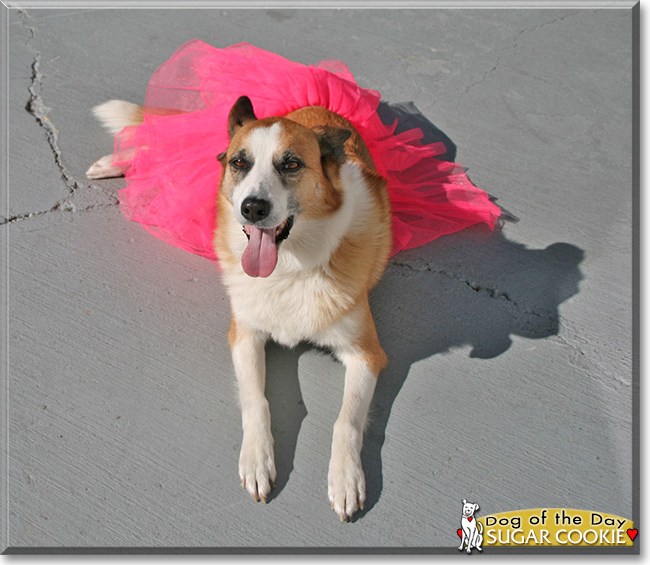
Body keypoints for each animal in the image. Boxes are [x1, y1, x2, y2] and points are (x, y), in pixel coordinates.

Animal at [86, 93, 390, 520]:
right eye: (240, 163)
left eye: (291, 164)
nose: (252, 208)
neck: (292, 265)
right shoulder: (243, 334)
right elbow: (255, 400)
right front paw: (257, 460)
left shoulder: (367, 354)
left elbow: (345, 419)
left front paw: (346, 478)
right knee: (170, 142)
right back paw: (117, 161)